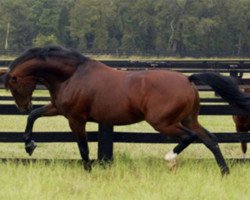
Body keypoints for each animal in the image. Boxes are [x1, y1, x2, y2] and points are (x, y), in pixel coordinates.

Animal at [2, 45, 250, 175]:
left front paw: (89, 171)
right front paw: (29, 145)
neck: (71, 76)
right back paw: (224, 172)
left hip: (163, 122)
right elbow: (34, 116)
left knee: (189, 138)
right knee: (210, 140)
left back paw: (169, 159)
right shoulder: (59, 109)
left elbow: (83, 148)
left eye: (13, 85)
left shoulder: (76, 118)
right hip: (189, 119)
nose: (22, 106)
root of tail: (188, 79)